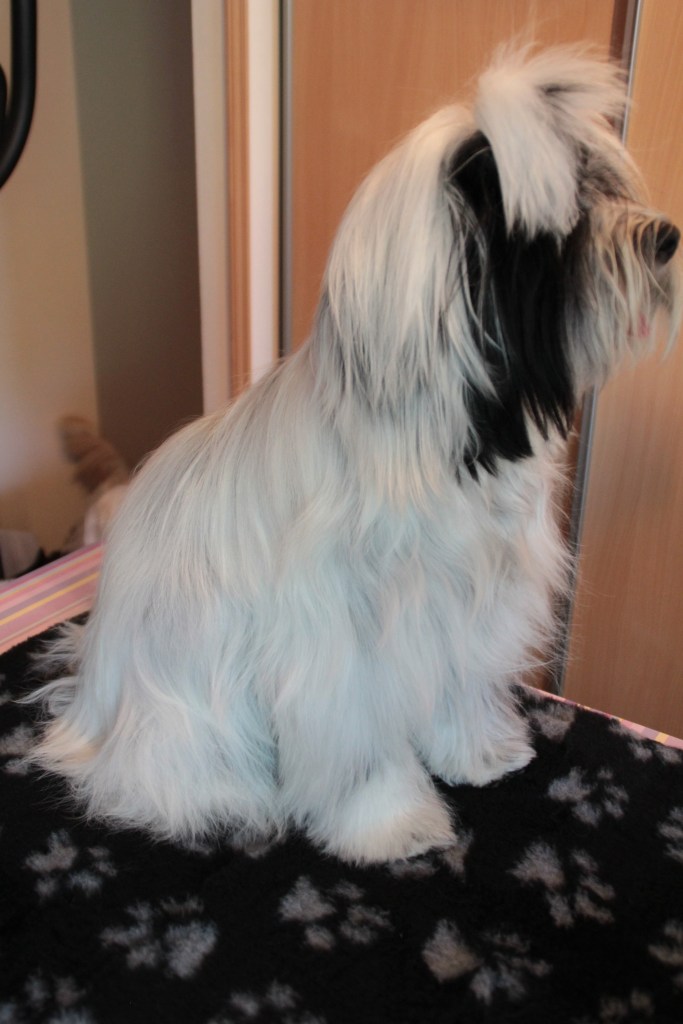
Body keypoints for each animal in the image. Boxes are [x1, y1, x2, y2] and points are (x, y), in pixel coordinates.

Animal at [29, 45, 680, 864]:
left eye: (599, 186)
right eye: (555, 233)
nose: (665, 237)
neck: (439, 446)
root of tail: (87, 706)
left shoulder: (465, 615)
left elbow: (459, 690)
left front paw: (479, 755)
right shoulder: (342, 647)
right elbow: (362, 748)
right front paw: (391, 824)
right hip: (183, 710)